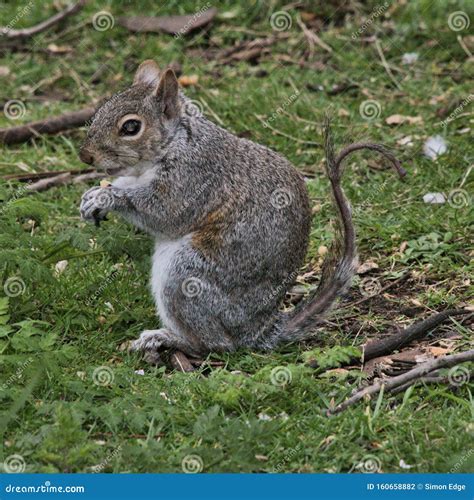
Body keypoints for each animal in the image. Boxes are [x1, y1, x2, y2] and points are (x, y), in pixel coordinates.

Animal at [78, 60, 404, 364]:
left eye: (131, 127)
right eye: (103, 107)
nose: (85, 155)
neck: (177, 142)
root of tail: (257, 329)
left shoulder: (194, 178)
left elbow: (164, 213)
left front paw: (109, 197)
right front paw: (93, 195)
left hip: (187, 277)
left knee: (218, 344)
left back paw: (169, 339)